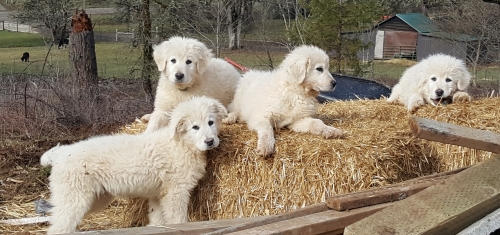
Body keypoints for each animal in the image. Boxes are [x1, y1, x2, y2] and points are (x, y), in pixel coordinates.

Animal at [42, 96, 228, 234]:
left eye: (211, 122)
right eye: (195, 127)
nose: (210, 141)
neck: (181, 144)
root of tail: (60, 154)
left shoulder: (158, 196)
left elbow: (157, 221)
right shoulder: (176, 192)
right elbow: (178, 221)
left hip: (94, 199)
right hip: (75, 197)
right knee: (58, 228)